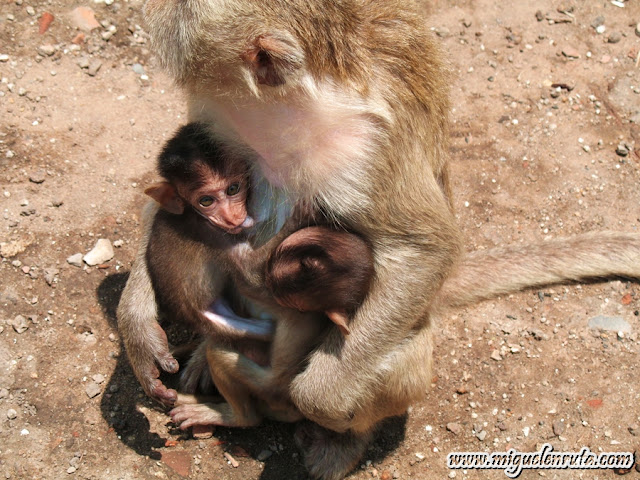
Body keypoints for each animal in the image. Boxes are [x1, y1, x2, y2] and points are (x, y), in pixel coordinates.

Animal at [117, 1, 640, 478]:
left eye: (231, 191)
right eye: (198, 85)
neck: (293, 105)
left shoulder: (370, 146)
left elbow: (424, 249)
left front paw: (319, 402)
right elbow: (165, 203)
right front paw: (137, 328)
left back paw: (332, 436)